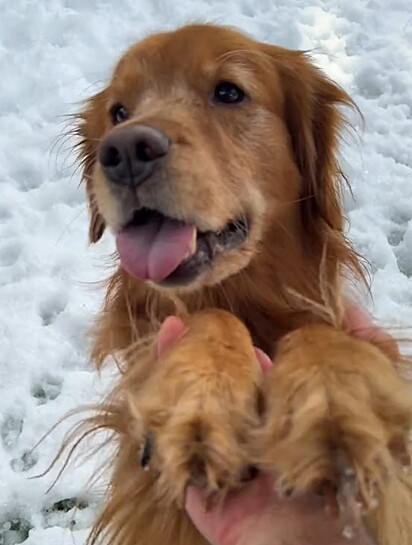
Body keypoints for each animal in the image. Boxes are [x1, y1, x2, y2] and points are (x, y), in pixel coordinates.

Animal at [72, 23, 412, 544]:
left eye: (229, 92)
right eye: (119, 112)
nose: (124, 150)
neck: (246, 299)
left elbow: (319, 333)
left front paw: (339, 407)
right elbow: (210, 319)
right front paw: (204, 403)